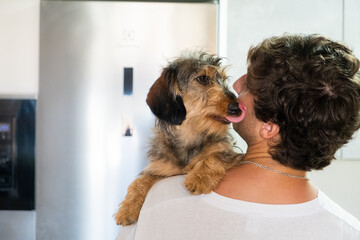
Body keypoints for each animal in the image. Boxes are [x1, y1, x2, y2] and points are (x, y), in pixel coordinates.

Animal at [114, 51, 246, 226]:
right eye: (202, 78)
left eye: (223, 79)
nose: (237, 108)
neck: (190, 136)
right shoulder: (161, 169)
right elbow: (139, 181)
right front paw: (127, 208)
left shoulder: (234, 155)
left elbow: (216, 155)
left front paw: (199, 177)